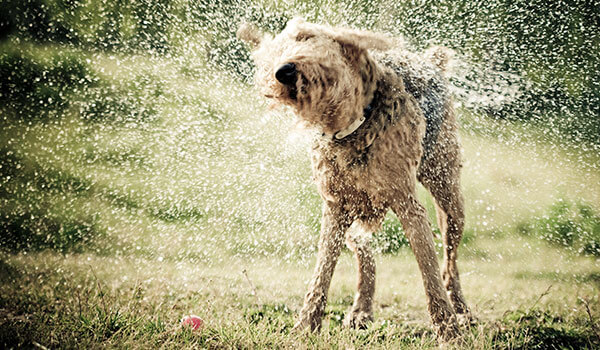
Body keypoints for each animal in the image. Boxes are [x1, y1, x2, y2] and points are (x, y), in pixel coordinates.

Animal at [238, 17, 468, 340]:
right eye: (271, 55)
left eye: (306, 37)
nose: (284, 71)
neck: (353, 126)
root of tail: (430, 61)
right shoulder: (334, 208)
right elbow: (321, 274)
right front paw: (305, 325)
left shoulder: (409, 207)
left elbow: (430, 274)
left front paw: (448, 330)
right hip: (358, 210)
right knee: (365, 252)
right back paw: (361, 310)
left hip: (449, 197)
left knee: (449, 263)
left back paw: (462, 311)